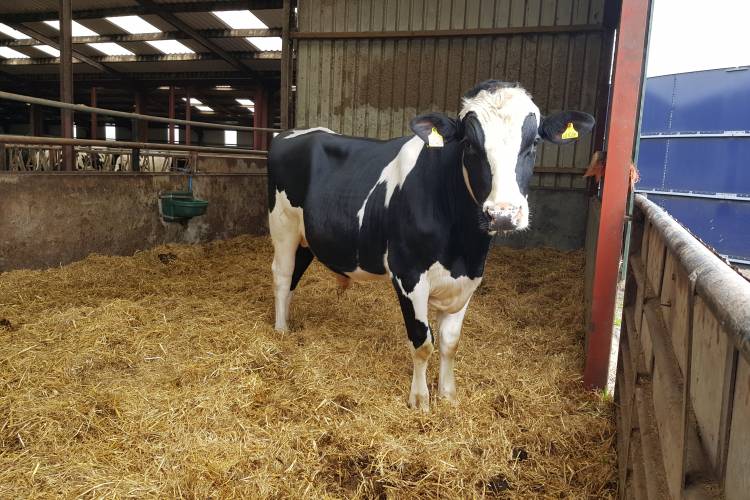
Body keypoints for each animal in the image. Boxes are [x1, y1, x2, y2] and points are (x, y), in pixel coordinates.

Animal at [267, 80, 594, 411]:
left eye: (534, 144)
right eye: (469, 144)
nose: (502, 214)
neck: (463, 248)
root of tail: (293, 132)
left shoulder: (468, 280)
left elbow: (450, 343)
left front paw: (448, 395)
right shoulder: (408, 275)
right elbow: (423, 343)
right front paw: (420, 400)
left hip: (307, 237)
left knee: (294, 277)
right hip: (283, 225)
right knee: (282, 275)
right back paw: (281, 330)